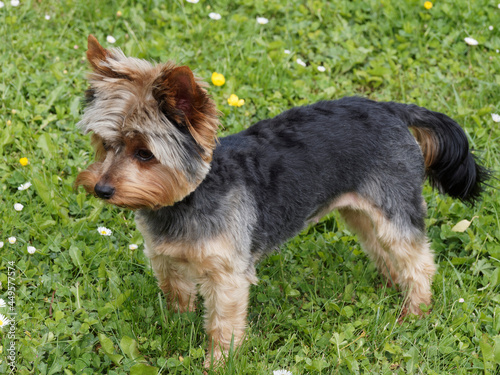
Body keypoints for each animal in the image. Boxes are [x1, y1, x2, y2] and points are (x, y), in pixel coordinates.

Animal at [76, 34, 490, 364]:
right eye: (105, 144)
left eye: (145, 154)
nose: (102, 189)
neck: (186, 200)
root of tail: (391, 108)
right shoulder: (165, 259)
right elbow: (177, 297)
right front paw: (178, 326)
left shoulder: (228, 276)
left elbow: (222, 325)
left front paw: (218, 362)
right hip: (359, 211)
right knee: (383, 249)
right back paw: (392, 288)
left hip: (393, 204)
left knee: (418, 260)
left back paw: (415, 311)